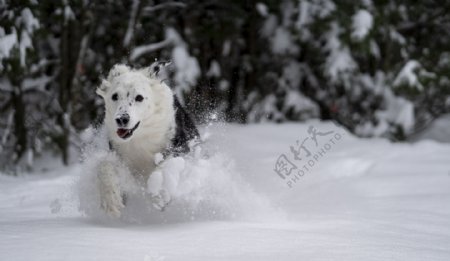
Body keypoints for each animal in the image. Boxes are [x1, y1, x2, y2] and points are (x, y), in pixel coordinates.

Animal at [95, 63, 199, 217]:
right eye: (114, 96)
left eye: (139, 97)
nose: (121, 119)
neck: (141, 136)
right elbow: (104, 164)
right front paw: (111, 200)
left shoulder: (181, 147)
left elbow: (166, 164)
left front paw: (159, 194)